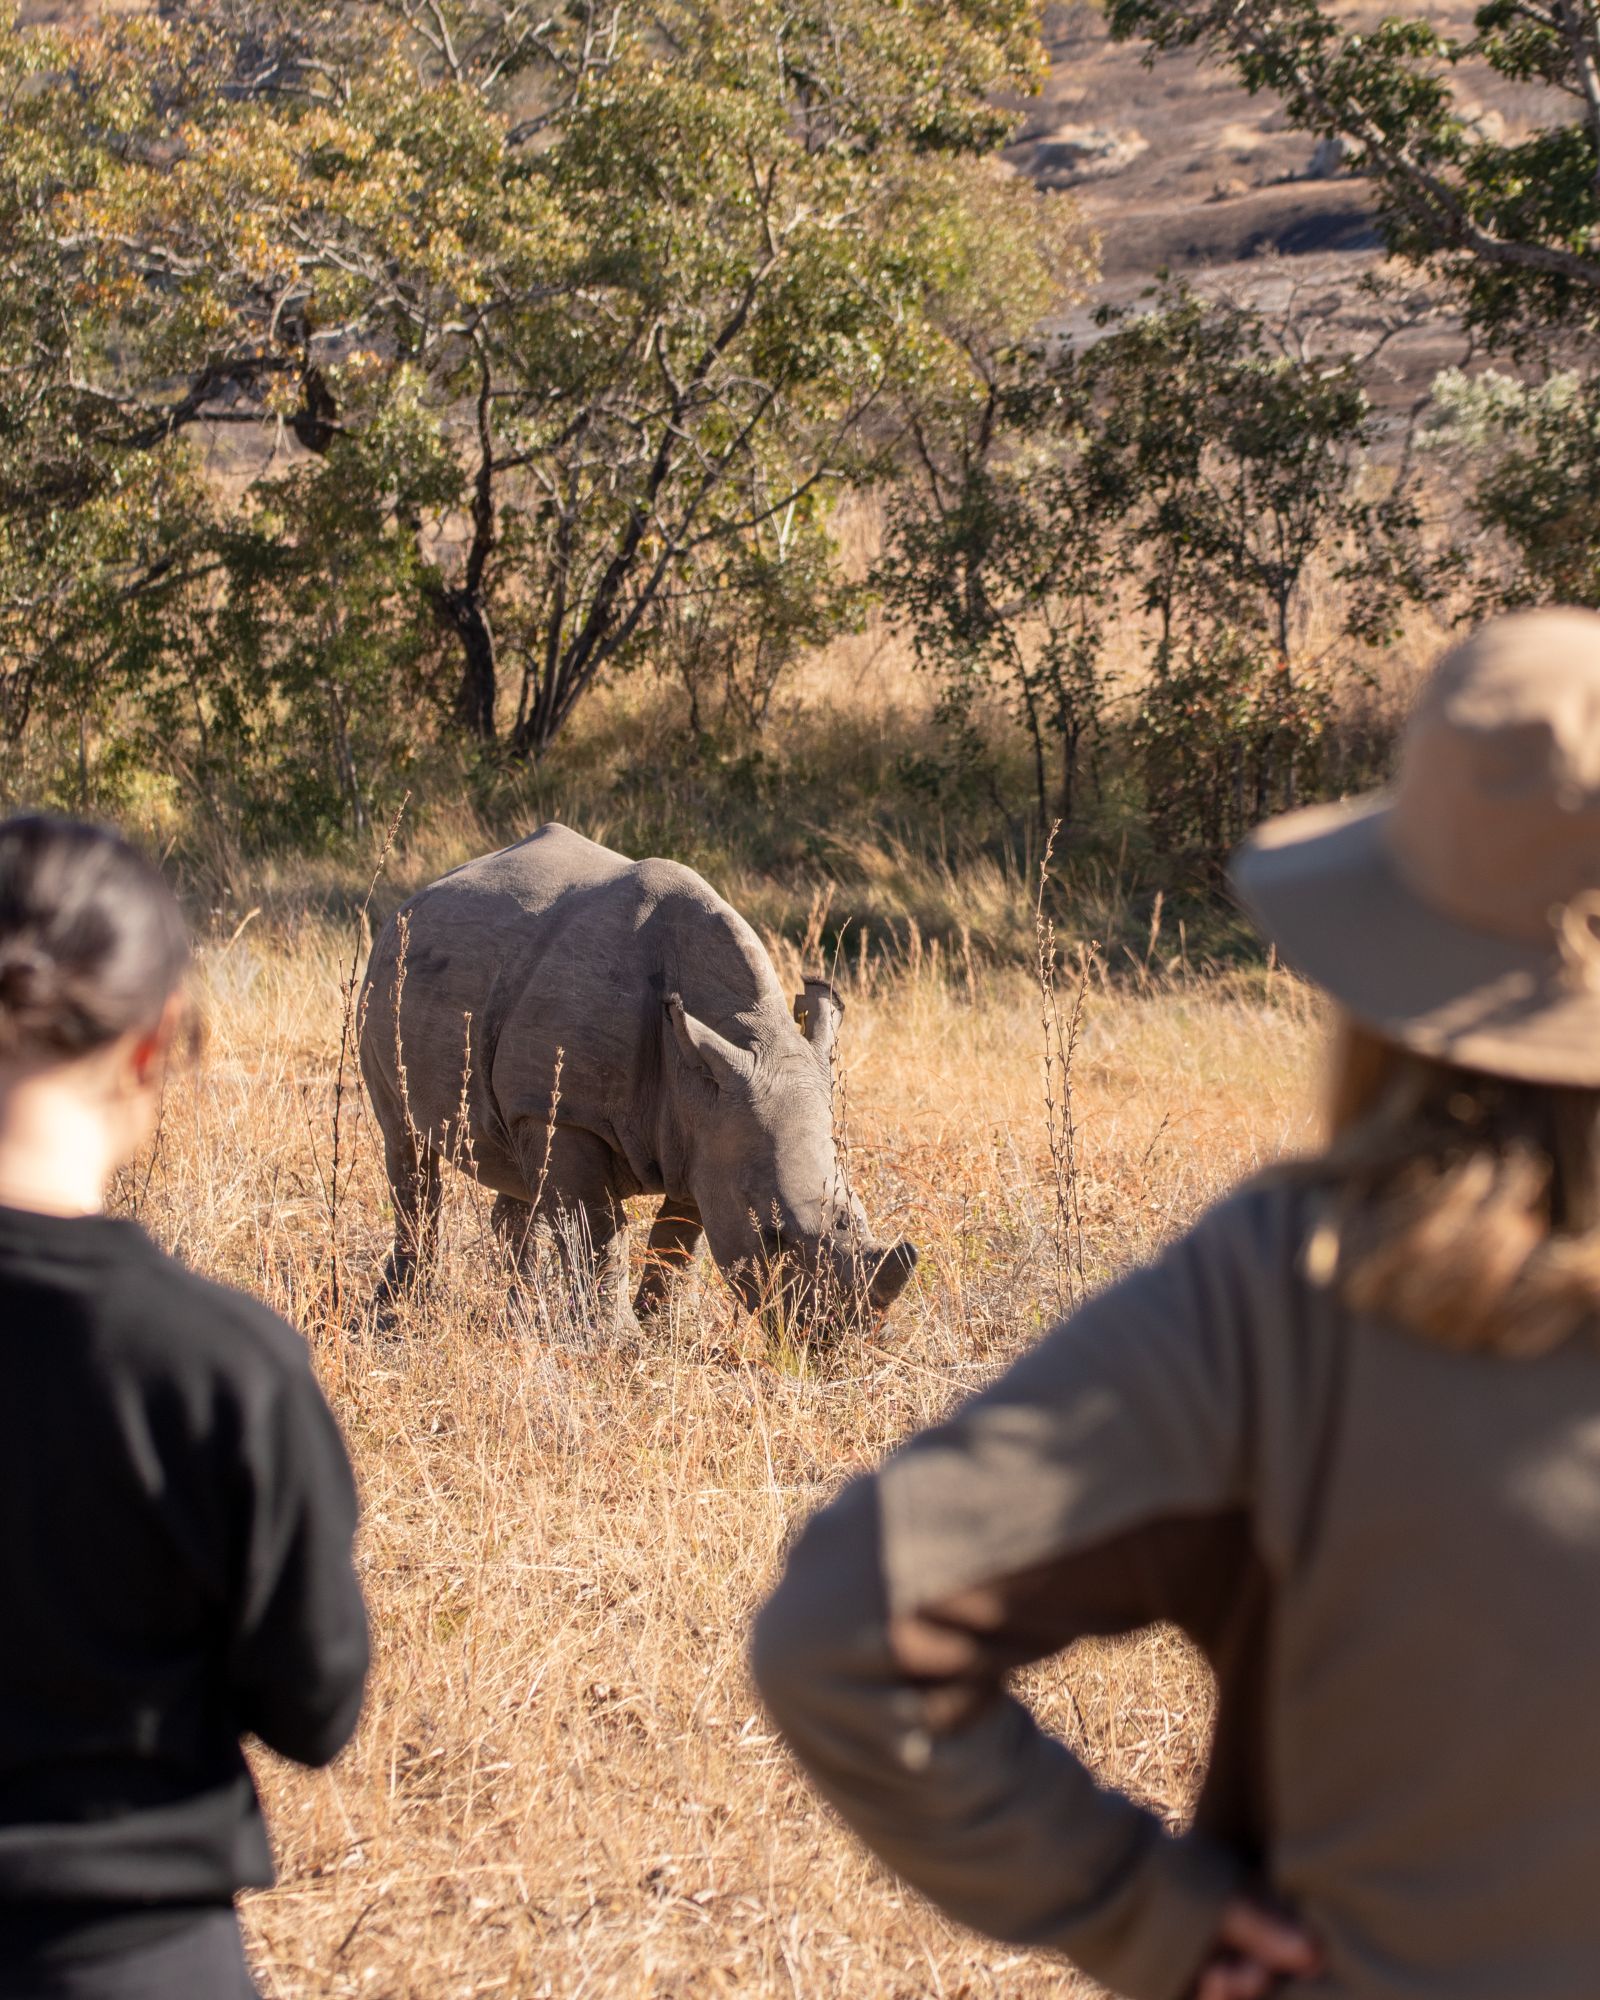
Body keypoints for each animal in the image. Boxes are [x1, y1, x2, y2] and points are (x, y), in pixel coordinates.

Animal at [357, 824, 917, 1335]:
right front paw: (619, 1343)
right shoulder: (568, 1115)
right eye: (773, 1235)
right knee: (407, 1149)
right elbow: (601, 1232)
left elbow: (679, 1241)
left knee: (516, 1168)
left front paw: (662, 1331)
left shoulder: (710, 1128)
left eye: (857, 1215)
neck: (750, 1032)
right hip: (383, 979)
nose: (843, 1335)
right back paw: (397, 1313)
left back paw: (520, 1318)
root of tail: (416, 896)